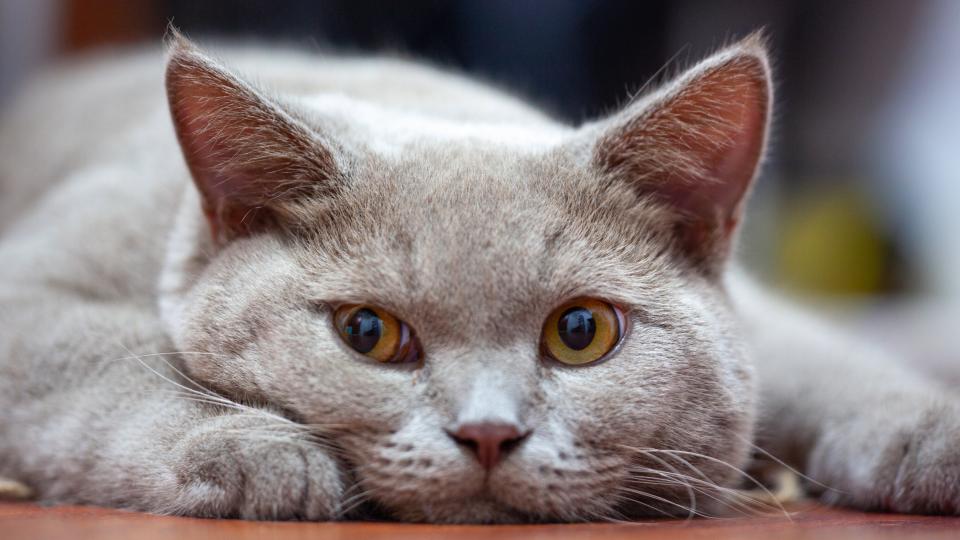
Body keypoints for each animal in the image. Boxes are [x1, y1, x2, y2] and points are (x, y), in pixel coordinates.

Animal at [0, 30, 956, 524]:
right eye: (367, 333)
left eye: (582, 332)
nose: (490, 432)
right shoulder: (35, 291)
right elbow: (117, 355)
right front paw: (260, 453)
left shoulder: (760, 320)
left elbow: (820, 363)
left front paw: (931, 438)